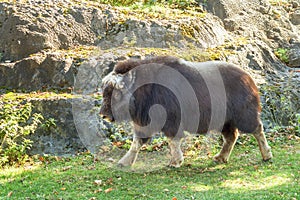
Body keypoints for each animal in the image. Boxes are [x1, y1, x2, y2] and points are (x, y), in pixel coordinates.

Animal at [99, 55, 274, 167]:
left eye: (115, 93)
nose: (103, 115)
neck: (143, 88)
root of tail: (248, 77)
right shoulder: (145, 122)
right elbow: (137, 142)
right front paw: (124, 162)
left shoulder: (171, 120)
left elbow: (172, 140)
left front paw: (175, 162)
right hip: (226, 121)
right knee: (231, 136)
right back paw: (220, 157)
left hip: (244, 115)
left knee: (257, 129)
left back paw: (266, 155)